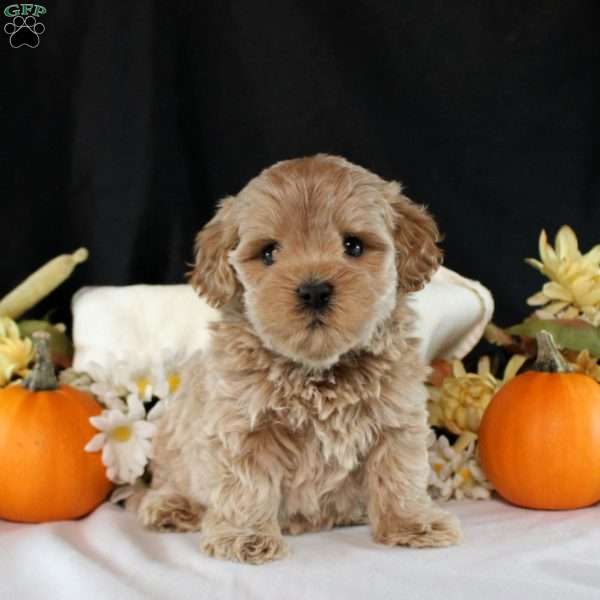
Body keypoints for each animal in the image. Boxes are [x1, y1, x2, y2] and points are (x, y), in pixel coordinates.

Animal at [134, 154, 462, 564]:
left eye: (353, 245)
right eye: (269, 252)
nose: (314, 290)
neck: (318, 370)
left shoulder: (397, 416)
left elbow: (399, 471)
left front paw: (412, 523)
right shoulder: (243, 425)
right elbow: (247, 484)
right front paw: (246, 536)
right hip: (171, 441)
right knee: (171, 478)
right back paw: (170, 506)